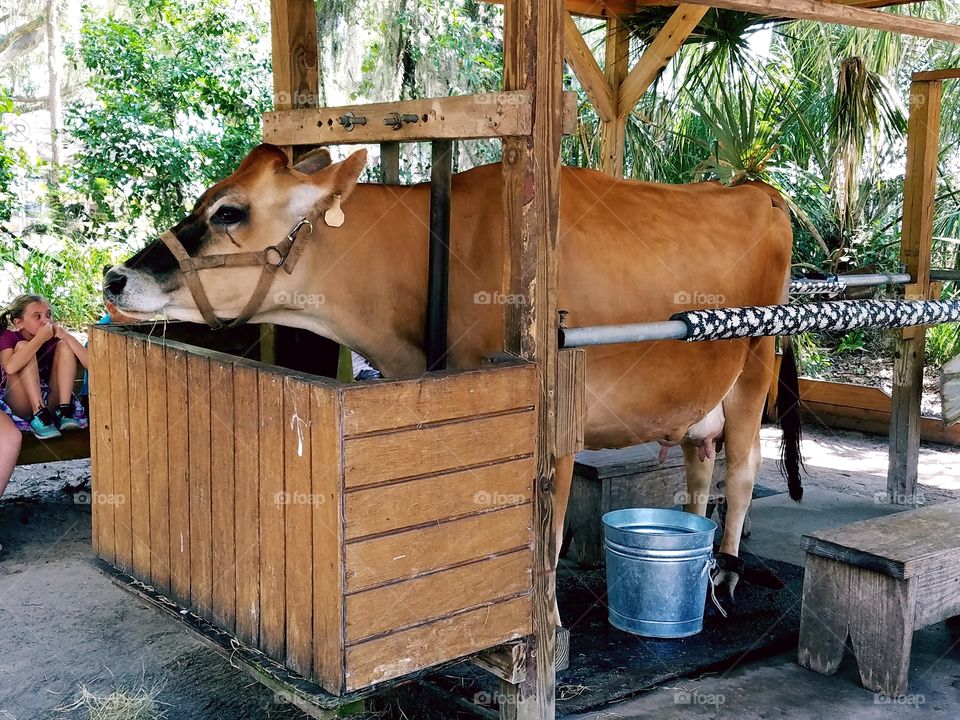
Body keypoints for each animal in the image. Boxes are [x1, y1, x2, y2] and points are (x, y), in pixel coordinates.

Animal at [103, 143, 802, 622]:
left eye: (230, 212)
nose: (114, 277)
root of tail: (755, 188)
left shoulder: (553, 432)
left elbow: (546, 542)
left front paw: (548, 627)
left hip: (754, 361)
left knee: (742, 470)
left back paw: (726, 577)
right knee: (700, 462)